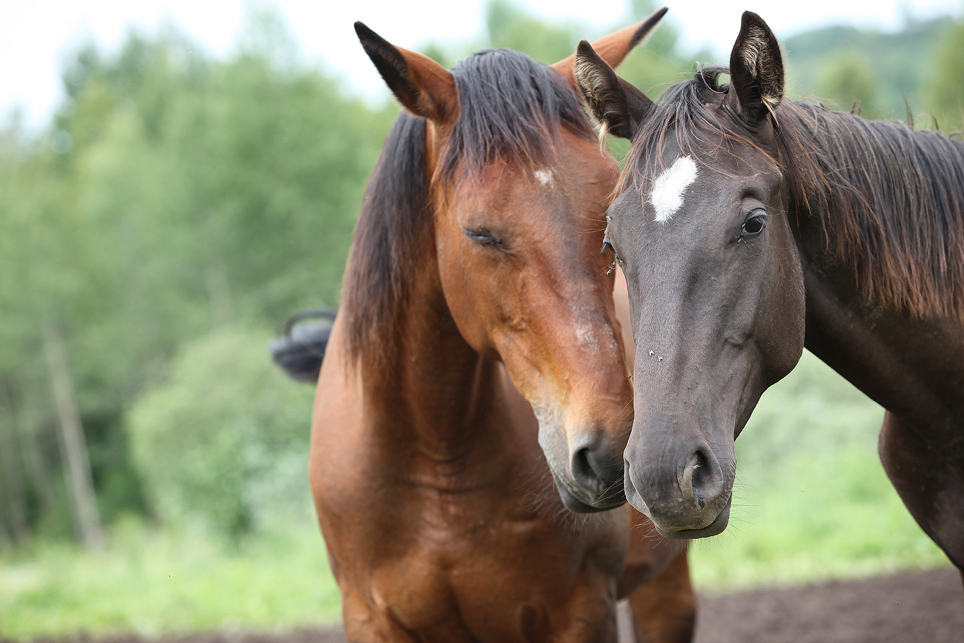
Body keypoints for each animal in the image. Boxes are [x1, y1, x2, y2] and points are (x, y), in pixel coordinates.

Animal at [306, 15, 692, 643]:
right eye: (479, 233)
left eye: (608, 219)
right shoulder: (369, 618)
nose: (609, 451)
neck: (436, 461)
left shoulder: (582, 612)